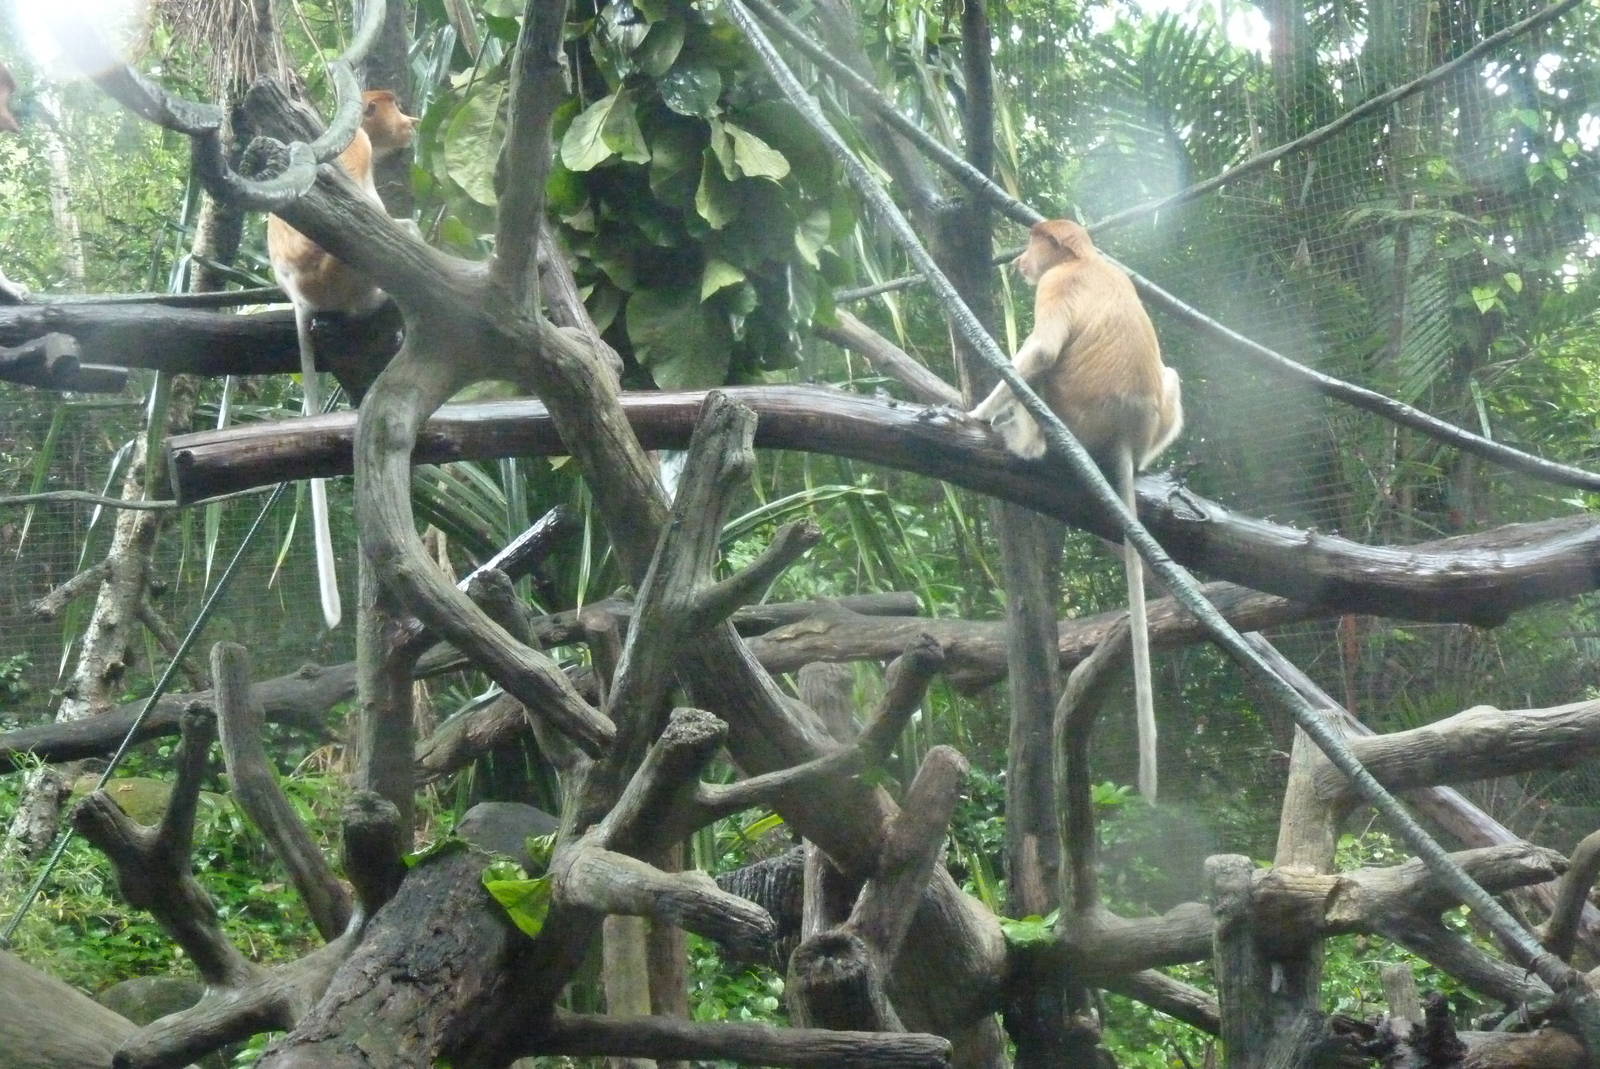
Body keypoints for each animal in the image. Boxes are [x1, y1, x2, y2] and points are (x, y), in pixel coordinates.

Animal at [969, 218, 1183, 800]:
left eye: (1032, 243)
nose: (1021, 262)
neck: (1085, 259)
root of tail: (1127, 440)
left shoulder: (1056, 285)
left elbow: (1040, 352)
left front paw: (972, 413)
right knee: (1172, 376)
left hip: (1068, 416)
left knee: (1041, 375)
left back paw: (1023, 441)